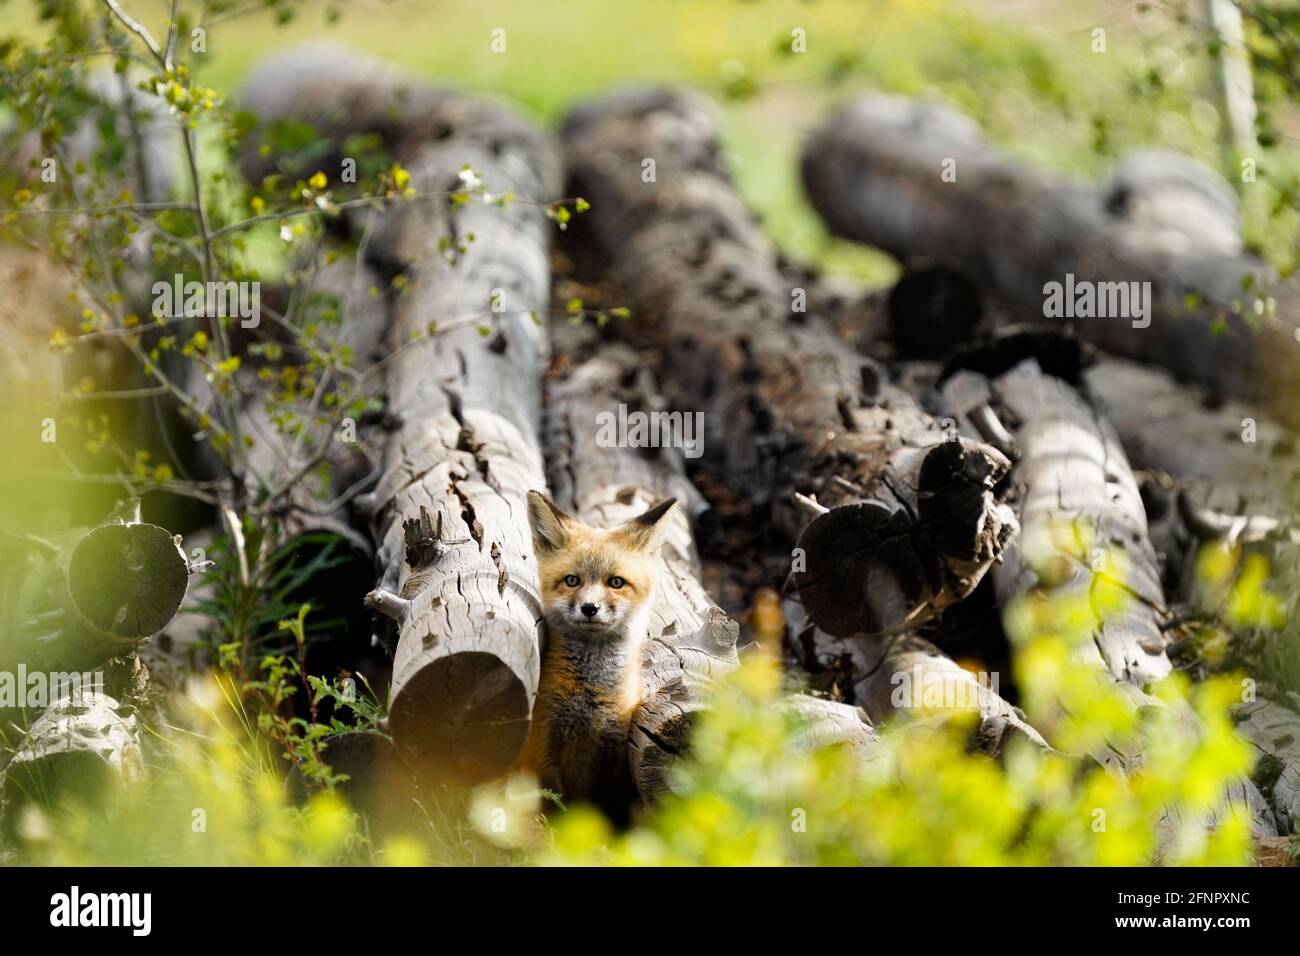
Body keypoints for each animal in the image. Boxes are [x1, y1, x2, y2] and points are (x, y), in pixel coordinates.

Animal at [519, 490, 676, 819]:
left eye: (615, 582)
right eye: (572, 580)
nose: (589, 608)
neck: (589, 695)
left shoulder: (612, 755)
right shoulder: (541, 750)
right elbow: (556, 808)